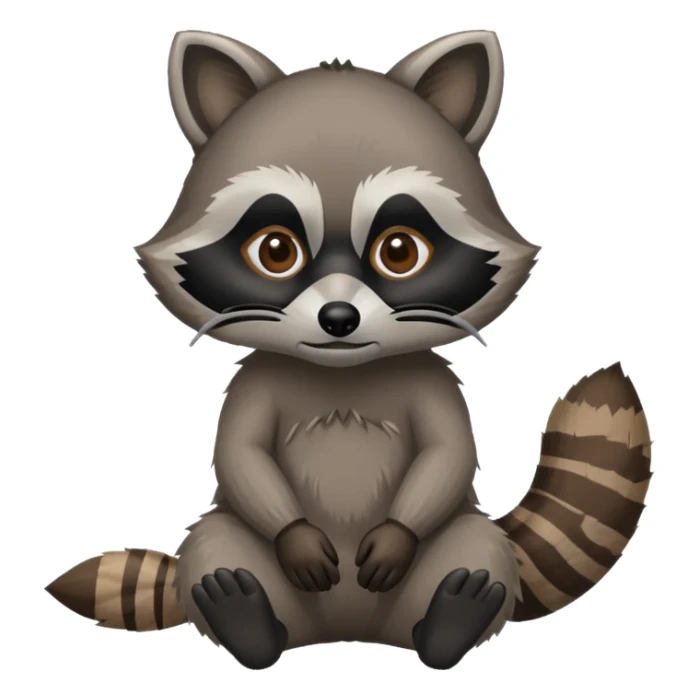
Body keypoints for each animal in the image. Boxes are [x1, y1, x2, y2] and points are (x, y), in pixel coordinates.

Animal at [47, 30, 652, 671]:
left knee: (476, 546)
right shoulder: (258, 380)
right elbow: (241, 452)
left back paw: (451, 618)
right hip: (246, 555)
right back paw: (244, 617)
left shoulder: (429, 378)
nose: (339, 319)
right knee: (215, 546)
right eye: (275, 250)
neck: (342, 371)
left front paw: (397, 535)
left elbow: (447, 451)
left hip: (449, 551)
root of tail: (347, 630)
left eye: (399, 250)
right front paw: (293, 536)